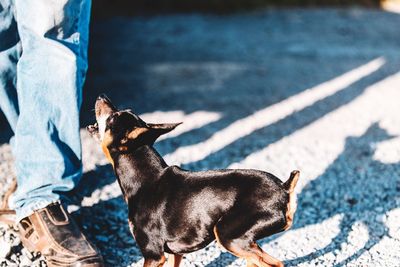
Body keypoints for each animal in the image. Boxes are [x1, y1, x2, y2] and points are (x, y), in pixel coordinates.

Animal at [87, 95, 300, 266]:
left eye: (113, 117)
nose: (101, 96)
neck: (145, 179)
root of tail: (284, 188)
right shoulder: (174, 253)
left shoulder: (153, 255)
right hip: (243, 240)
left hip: (228, 236)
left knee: (275, 263)